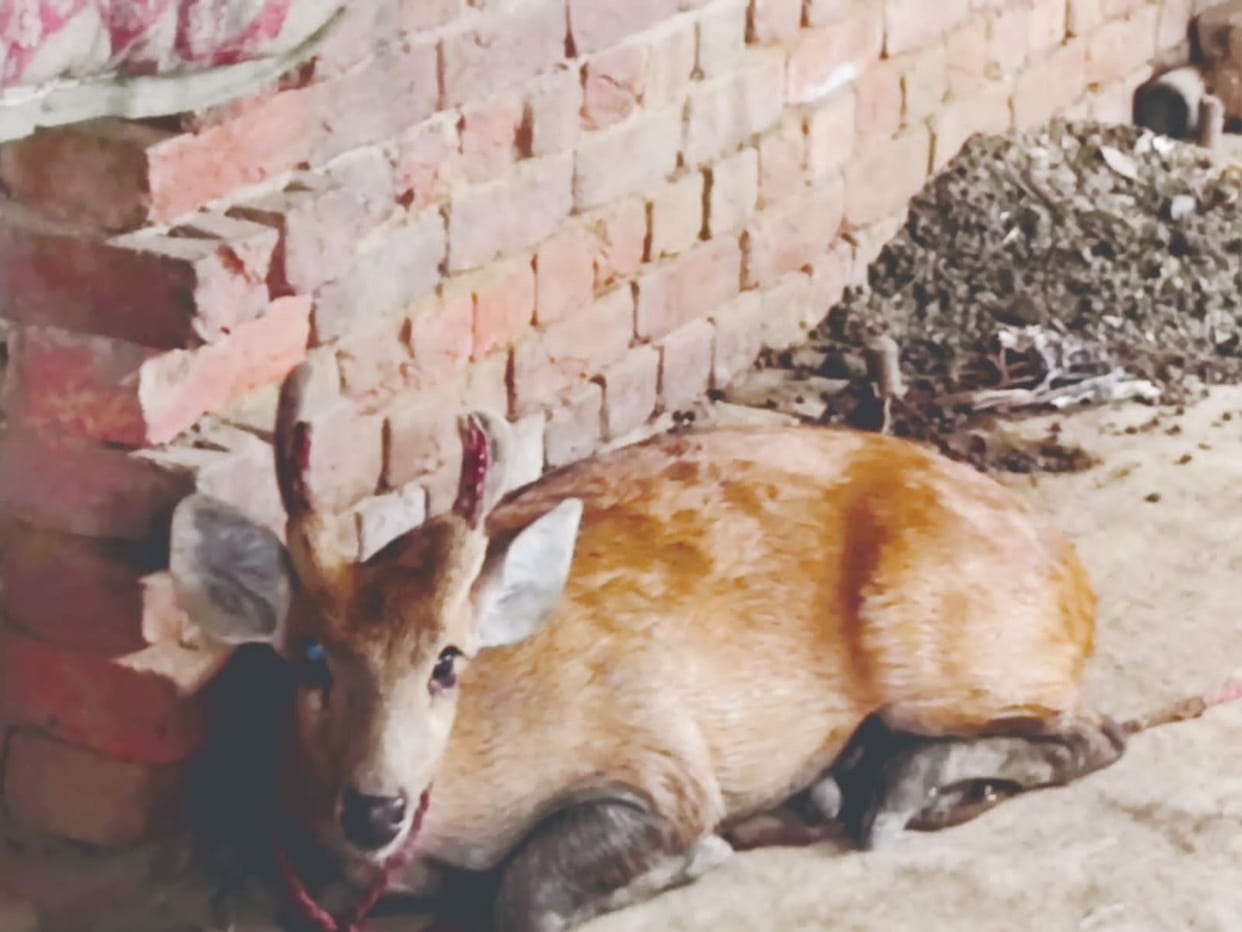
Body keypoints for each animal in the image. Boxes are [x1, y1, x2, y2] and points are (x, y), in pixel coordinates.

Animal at [169, 362, 1128, 932]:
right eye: (312, 661)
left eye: (447, 662)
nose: (376, 808)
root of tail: (1075, 576)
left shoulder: (658, 756)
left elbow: (527, 892)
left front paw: (699, 855)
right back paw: (848, 784)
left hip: (934, 643)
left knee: (1096, 734)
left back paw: (897, 795)